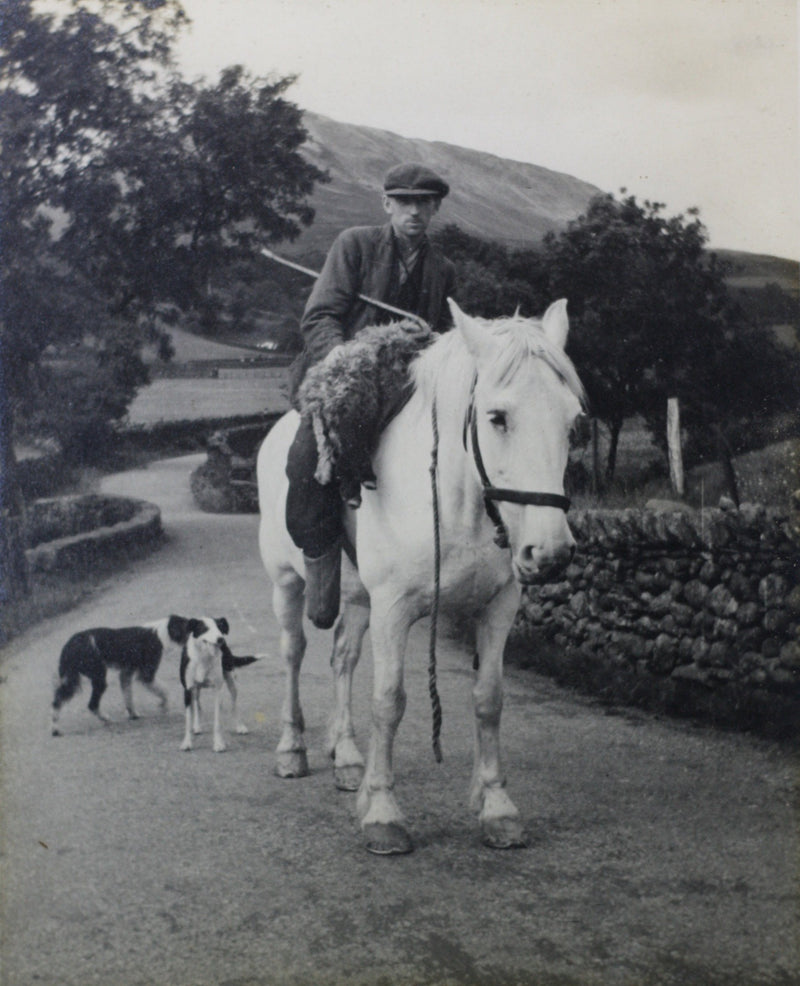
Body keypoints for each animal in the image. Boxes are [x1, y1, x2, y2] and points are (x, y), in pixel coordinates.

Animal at [51, 612, 194, 736]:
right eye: (188, 628)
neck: (160, 632)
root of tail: (69, 646)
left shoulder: (126, 673)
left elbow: (128, 695)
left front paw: (133, 714)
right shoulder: (146, 674)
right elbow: (164, 691)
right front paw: (164, 706)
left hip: (71, 678)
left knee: (57, 701)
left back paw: (55, 729)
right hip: (98, 676)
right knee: (92, 704)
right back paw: (106, 719)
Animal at [180, 620, 258, 748]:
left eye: (220, 627)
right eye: (205, 628)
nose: (220, 639)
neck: (203, 658)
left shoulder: (217, 691)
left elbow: (217, 722)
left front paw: (218, 744)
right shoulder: (188, 689)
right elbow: (188, 720)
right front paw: (187, 743)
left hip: (232, 682)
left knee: (234, 705)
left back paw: (240, 726)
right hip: (196, 690)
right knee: (197, 704)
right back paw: (197, 726)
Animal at [260, 296, 584, 848]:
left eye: (571, 421)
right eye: (497, 418)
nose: (550, 553)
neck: (459, 504)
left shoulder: (498, 607)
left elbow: (489, 699)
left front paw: (495, 804)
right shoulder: (394, 607)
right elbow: (389, 700)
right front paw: (383, 813)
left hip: (358, 598)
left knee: (343, 658)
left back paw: (348, 756)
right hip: (286, 583)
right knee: (293, 653)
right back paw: (291, 749)